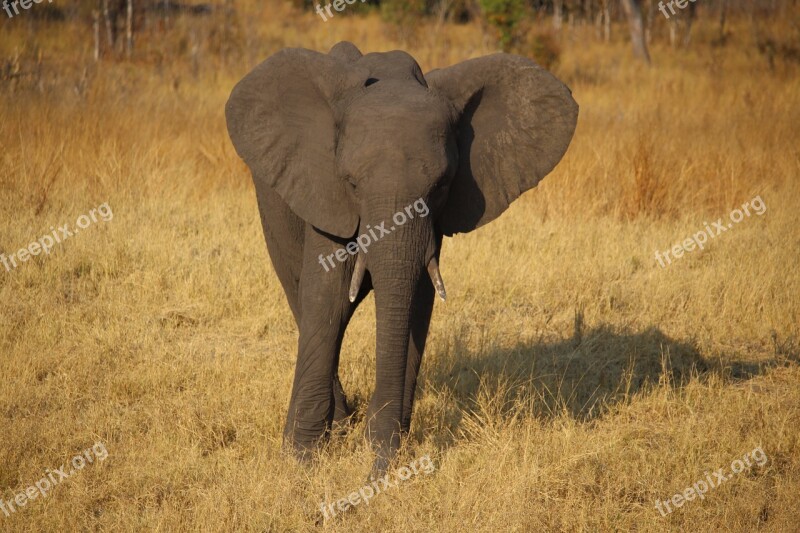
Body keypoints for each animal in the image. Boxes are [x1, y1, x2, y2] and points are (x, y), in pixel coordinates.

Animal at [223, 42, 576, 474]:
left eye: (442, 185)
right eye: (351, 183)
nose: (381, 466)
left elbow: (417, 301)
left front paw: (383, 448)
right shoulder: (324, 193)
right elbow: (329, 297)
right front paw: (301, 460)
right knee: (303, 297)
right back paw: (337, 424)